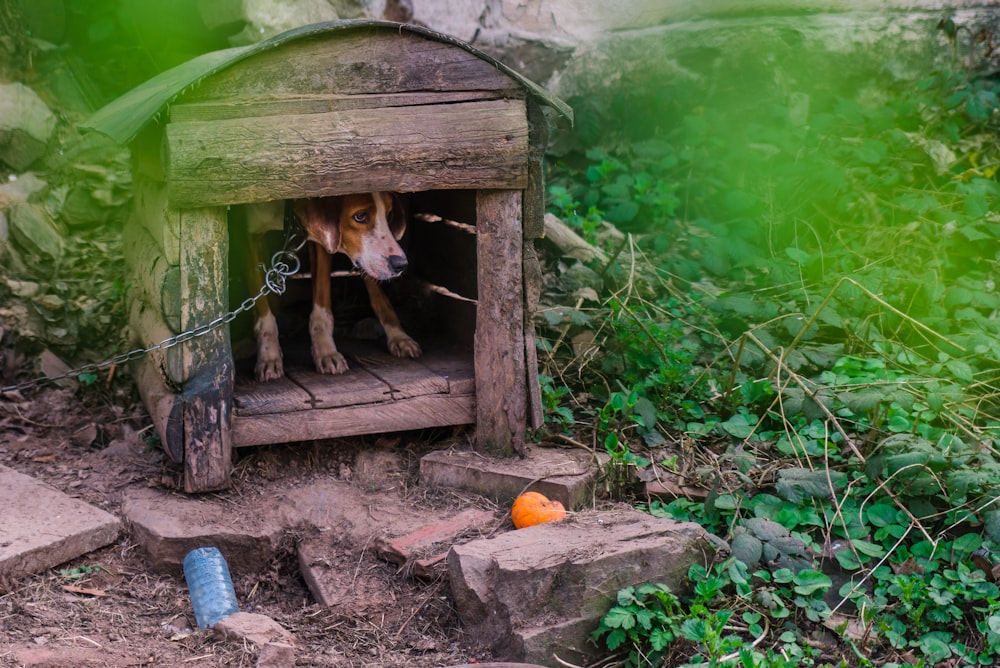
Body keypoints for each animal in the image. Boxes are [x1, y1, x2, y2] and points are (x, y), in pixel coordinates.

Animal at [248, 192, 424, 380]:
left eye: (389, 213)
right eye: (360, 216)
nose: (401, 264)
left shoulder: (322, 240)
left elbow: (322, 306)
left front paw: (326, 351)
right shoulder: (247, 238)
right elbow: (263, 311)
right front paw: (268, 355)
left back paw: (396, 335)